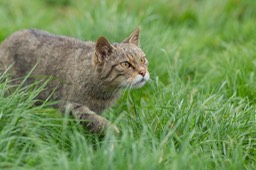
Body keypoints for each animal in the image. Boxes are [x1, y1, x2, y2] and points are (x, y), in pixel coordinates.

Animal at [0, 27, 149, 135]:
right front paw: (112, 129)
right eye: (125, 64)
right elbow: (93, 119)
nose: (143, 72)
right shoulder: (71, 105)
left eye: (143, 60)